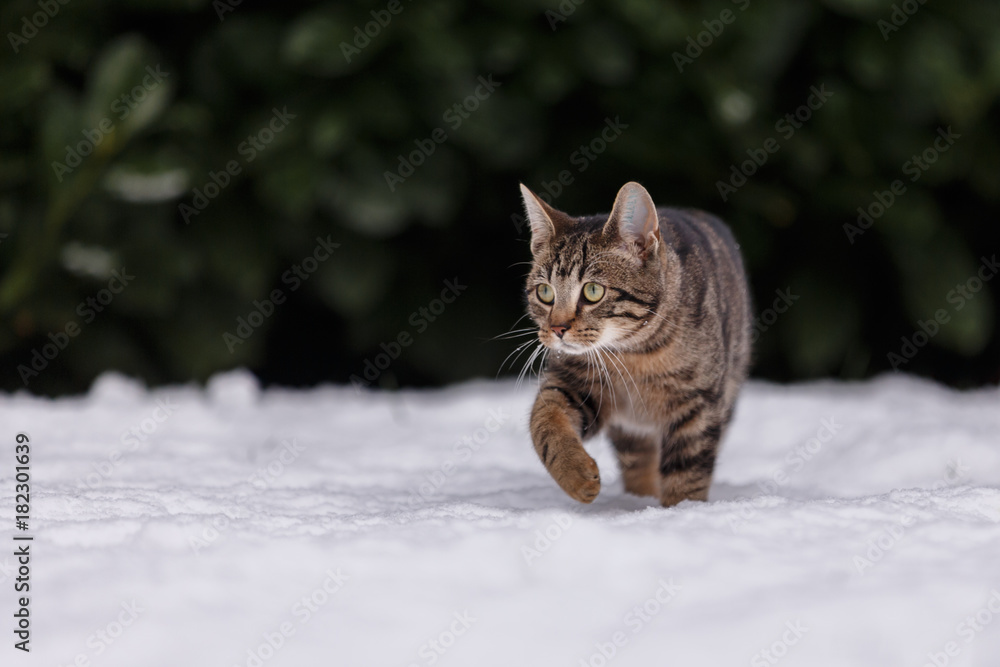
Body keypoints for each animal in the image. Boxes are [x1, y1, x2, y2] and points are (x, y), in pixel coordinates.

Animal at [524, 181, 752, 506]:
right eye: (545, 292)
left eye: (593, 291)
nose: (557, 328)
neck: (634, 354)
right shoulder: (573, 382)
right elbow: (544, 420)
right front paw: (576, 475)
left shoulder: (698, 403)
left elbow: (687, 472)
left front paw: (682, 510)